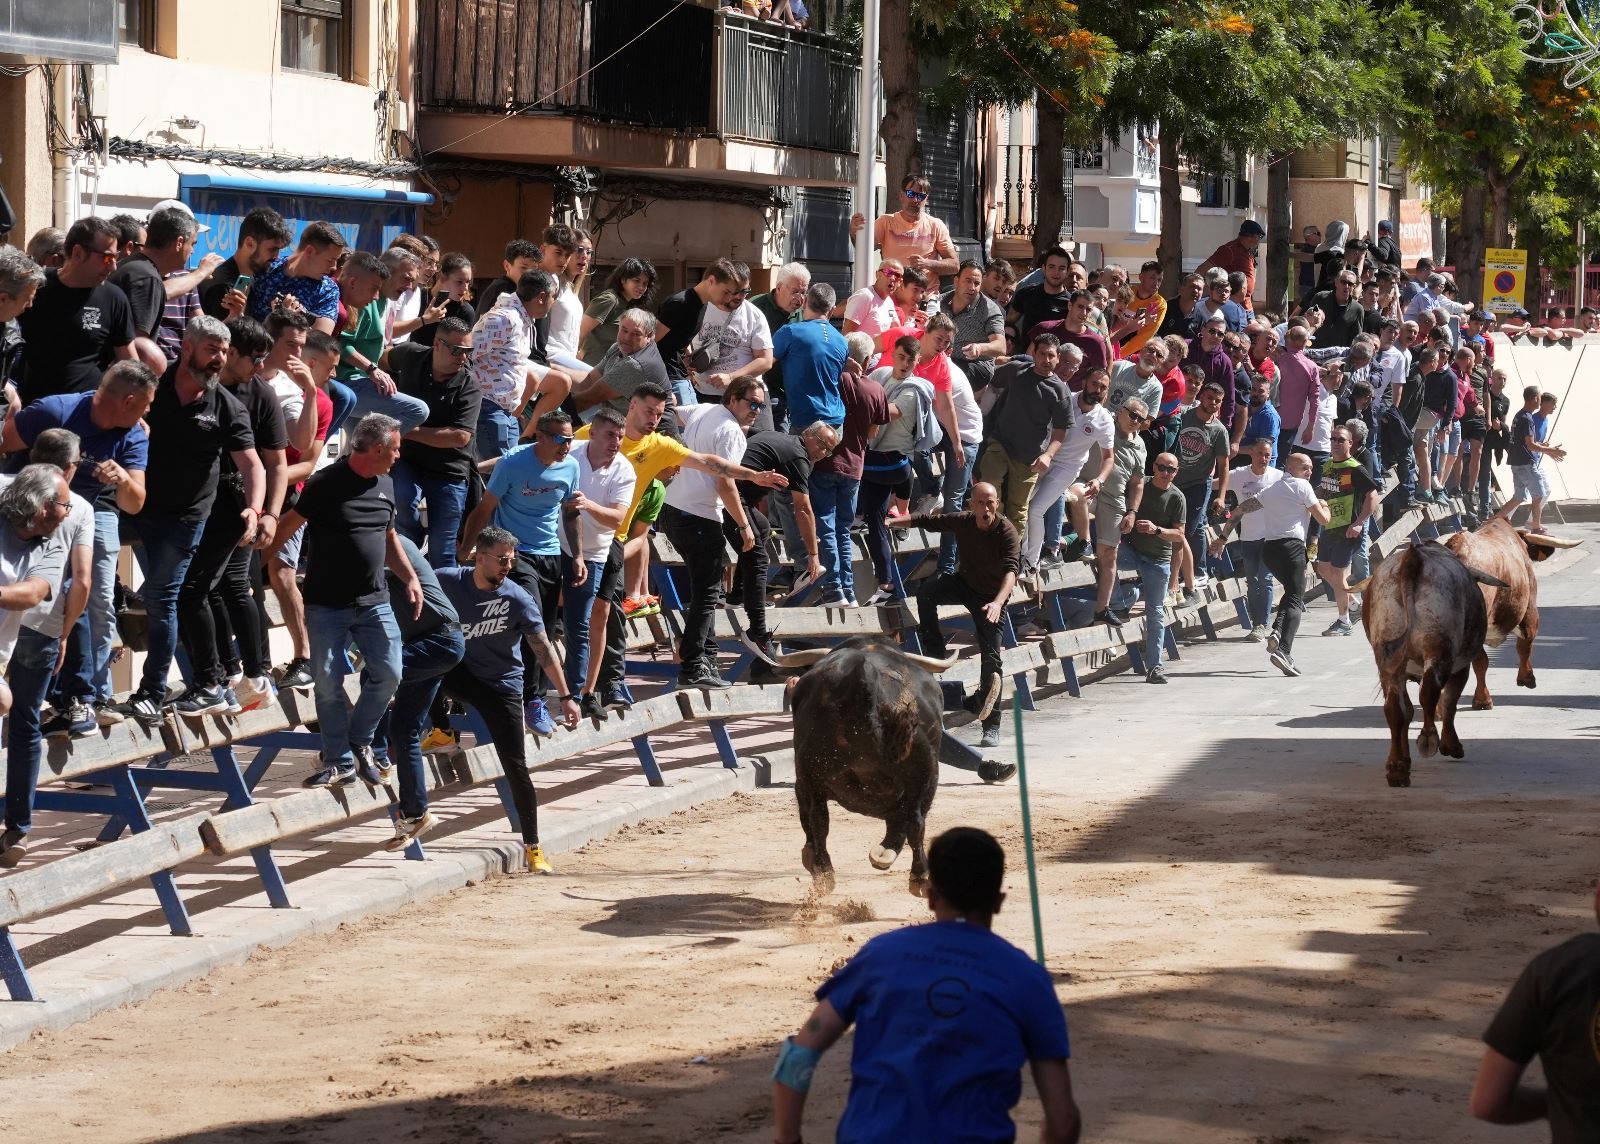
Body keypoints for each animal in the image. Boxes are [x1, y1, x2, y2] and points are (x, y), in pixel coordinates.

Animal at [1356, 544, 1504, 787]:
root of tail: (1413, 557)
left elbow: (1407, 711)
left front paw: (1404, 760)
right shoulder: (1460, 668)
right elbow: (1449, 702)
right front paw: (1451, 744)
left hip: (1387, 655)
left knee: (1395, 708)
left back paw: (1397, 768)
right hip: (1439, 648)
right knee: (1429, 692)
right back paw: (1428, 738)